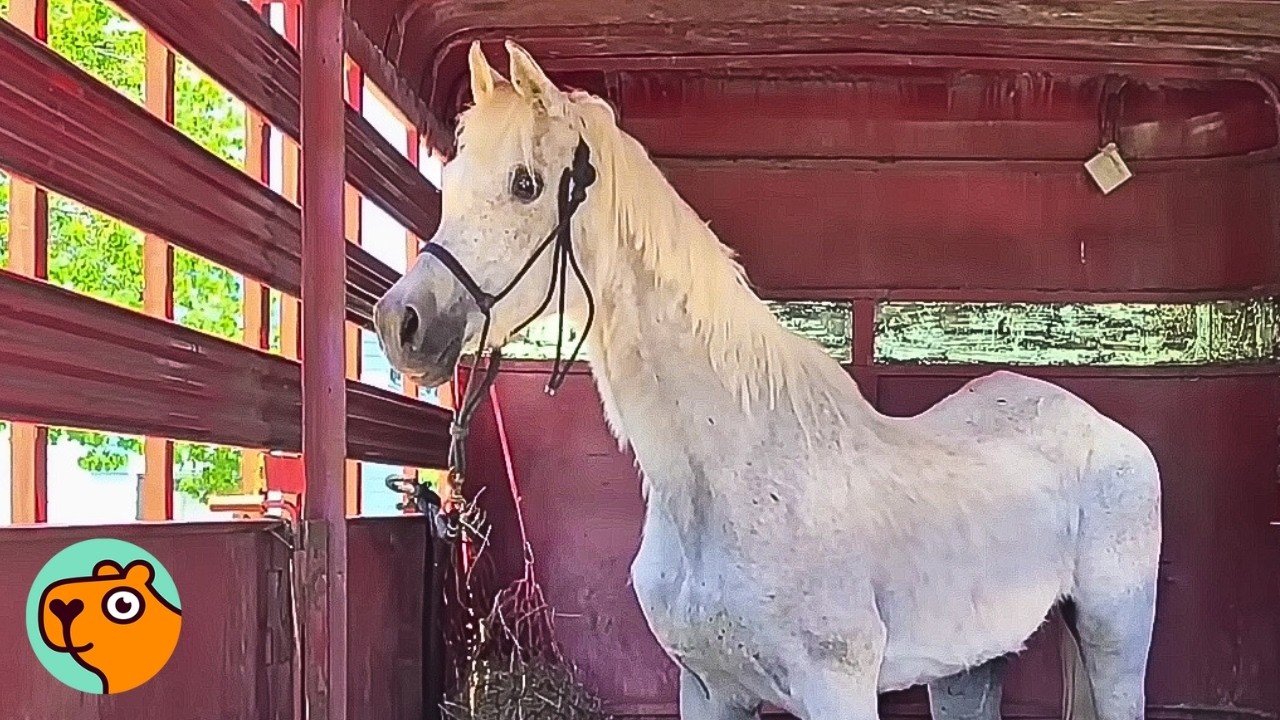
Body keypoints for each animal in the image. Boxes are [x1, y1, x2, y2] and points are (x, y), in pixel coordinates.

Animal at [372, 40, 1162, 720]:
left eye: (526, 184)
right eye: (448, 181)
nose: (398, 323)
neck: (726, 476)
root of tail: (1101, 427)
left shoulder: (838, 691)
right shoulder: (708, 692)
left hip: (1114, 638)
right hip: (972, 665)